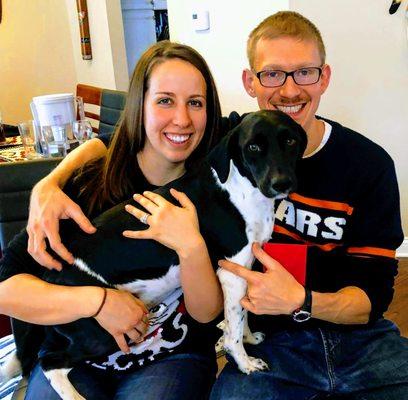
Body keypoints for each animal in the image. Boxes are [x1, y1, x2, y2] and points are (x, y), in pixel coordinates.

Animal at [3, 109, 304, 400]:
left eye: (290, 141)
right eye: (253, 146)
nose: (282, 183)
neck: (242, 190)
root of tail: (48, 275)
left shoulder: (245, 268)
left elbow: (242, 316)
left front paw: (249, 338)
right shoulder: (231, 272)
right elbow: (234, 328)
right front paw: (245, 362)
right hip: (102, 333)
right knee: (49, 362)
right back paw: (74, 396)